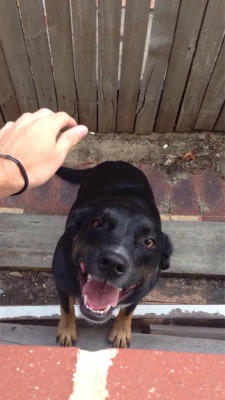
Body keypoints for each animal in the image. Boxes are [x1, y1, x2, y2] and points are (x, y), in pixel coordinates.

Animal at [52, 160, 172, 346]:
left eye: (149, 242)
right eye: (97, 223)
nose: (113, 263)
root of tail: (117, 162)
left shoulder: (138, 293)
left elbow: (128, 311)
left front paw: (121, 332)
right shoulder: (62, 283)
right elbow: (66, 308)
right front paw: (66, 330)